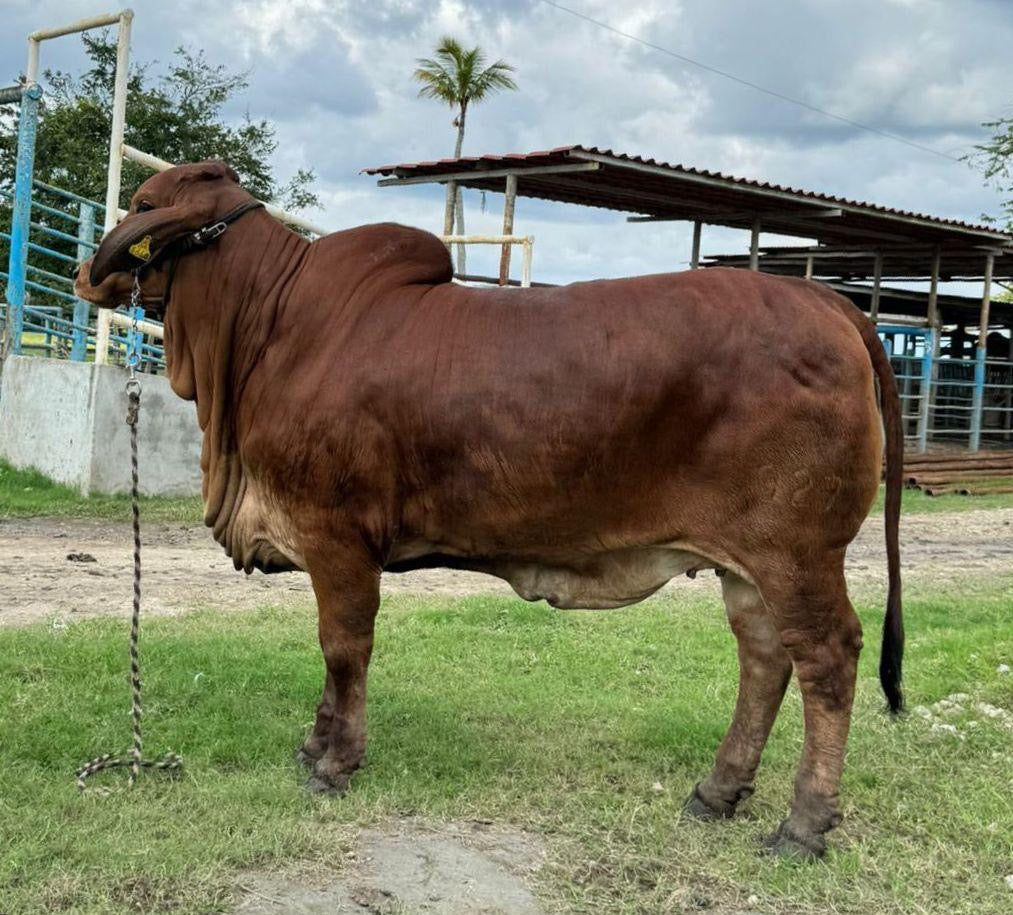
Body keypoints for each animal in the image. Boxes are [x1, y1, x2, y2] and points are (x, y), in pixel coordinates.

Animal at [76, 163, 903, 859]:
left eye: (143, 204)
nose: (86, 271)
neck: (265, 329)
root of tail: (826, 301)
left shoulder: (337, 535)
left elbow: (343, 646)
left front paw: (334, 760)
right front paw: (315, 745)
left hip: (796, 554)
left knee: (826, 659)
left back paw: (802, 823)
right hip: (747, 565)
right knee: (763, 657)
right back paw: (716, 789)